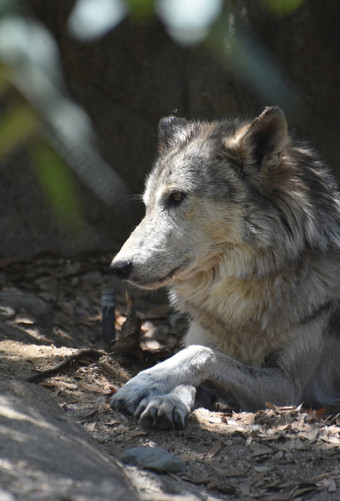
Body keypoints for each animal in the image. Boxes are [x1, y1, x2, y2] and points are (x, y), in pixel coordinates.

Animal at [109, 106, 340, 430]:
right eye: (147, 205)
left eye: (177, 197)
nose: (118, 267)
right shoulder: (206, 337)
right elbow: (192, 361)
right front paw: (166, 399)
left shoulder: (289, 387)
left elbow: (200, 356)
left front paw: (146, 382)